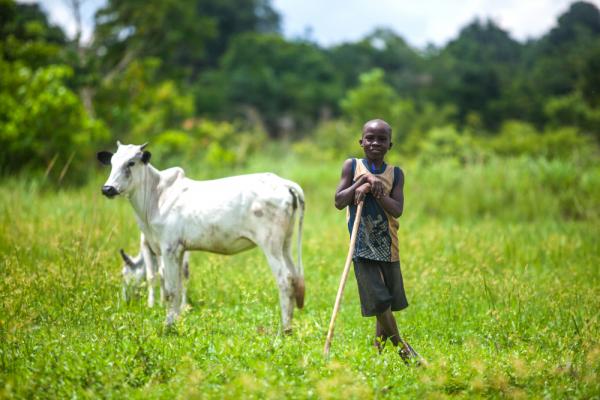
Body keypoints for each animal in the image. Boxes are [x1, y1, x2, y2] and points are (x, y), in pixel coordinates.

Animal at [100, 141, 304, 332]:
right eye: (112, 162)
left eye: (131, 162)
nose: (107, 189)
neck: (156, 196)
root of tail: (284, 183)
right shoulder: (179, 250)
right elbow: (177, 287)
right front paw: (176, 322)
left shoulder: (169, 248)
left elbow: (171, 290)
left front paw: (168, 327)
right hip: (285, 245)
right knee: (294, 278)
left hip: (271, 245)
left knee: (285, 280)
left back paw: (284, 329)